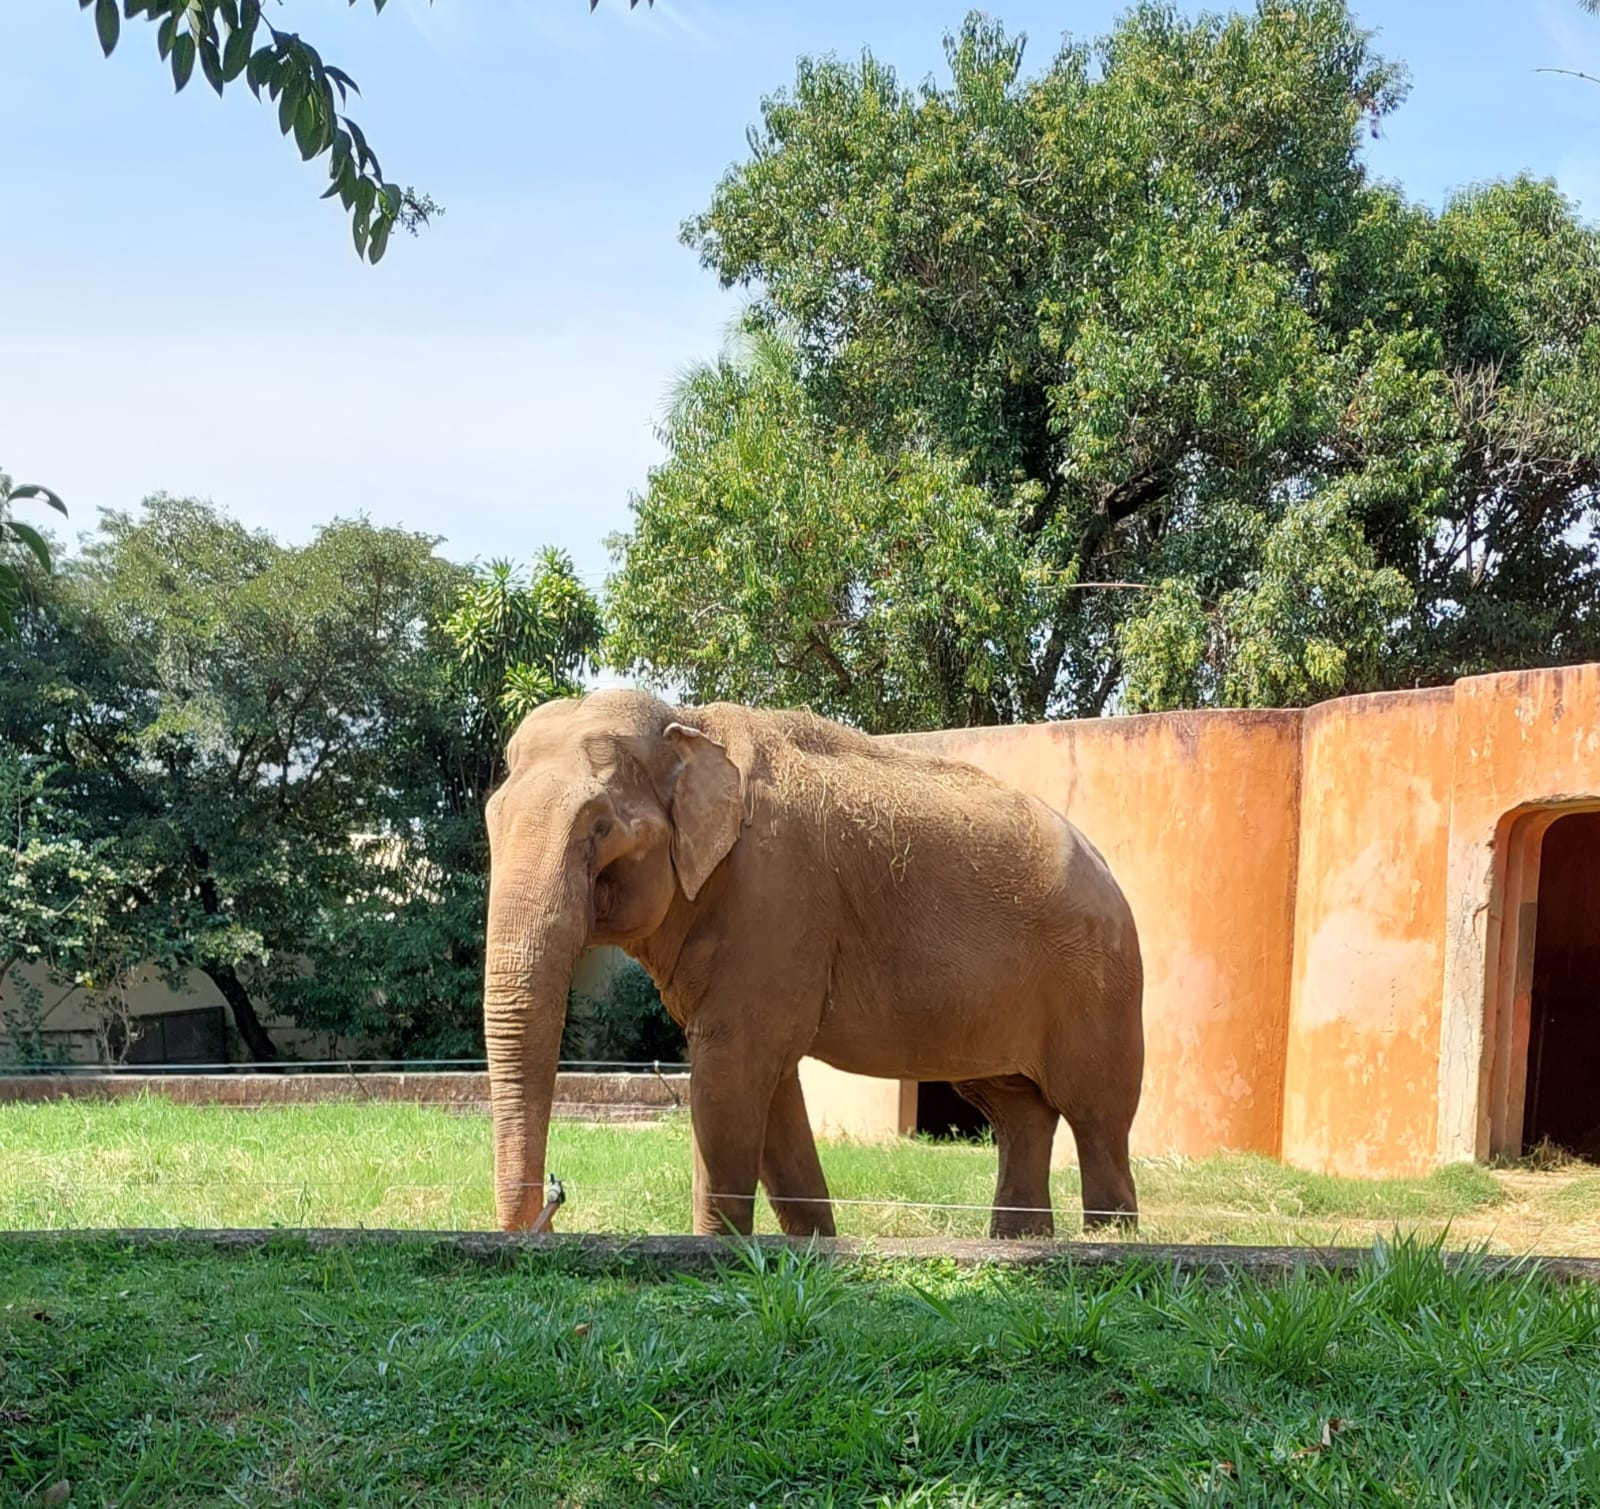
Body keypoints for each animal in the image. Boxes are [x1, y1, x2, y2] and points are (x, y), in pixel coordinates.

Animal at [482, 689, 1144, 1240]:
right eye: (492, 818)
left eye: (600, 828)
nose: (551, 1206)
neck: (691, 724)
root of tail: (1108, 869)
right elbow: (769, 1087)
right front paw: (814, 1245)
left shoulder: (776, 893)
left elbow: (730, 1074)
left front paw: (717, 1250)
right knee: (1016, 1110)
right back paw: (1020, 1242)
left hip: (1100, 981)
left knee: (1097, 1118)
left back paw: (1108, 1240)